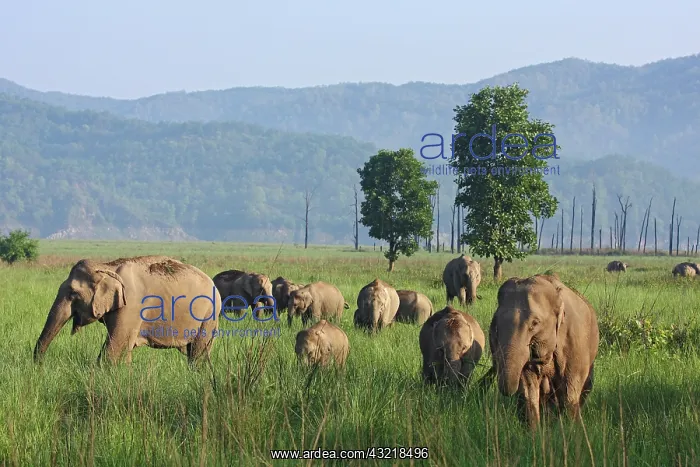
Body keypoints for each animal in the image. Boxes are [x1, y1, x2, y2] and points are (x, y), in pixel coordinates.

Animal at [33, 256, 220, 365]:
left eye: (73, 293)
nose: (40, 366)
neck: (107, 267)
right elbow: (124, 349)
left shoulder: (131, 305)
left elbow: (115, 349)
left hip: (209, 315)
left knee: (198, 352)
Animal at [479, 273, 599, 430]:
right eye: (495, 324)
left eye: (535, 323)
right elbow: (528, 385)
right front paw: (533, 431)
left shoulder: (574, 341)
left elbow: (571, 386)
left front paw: (572, 430)